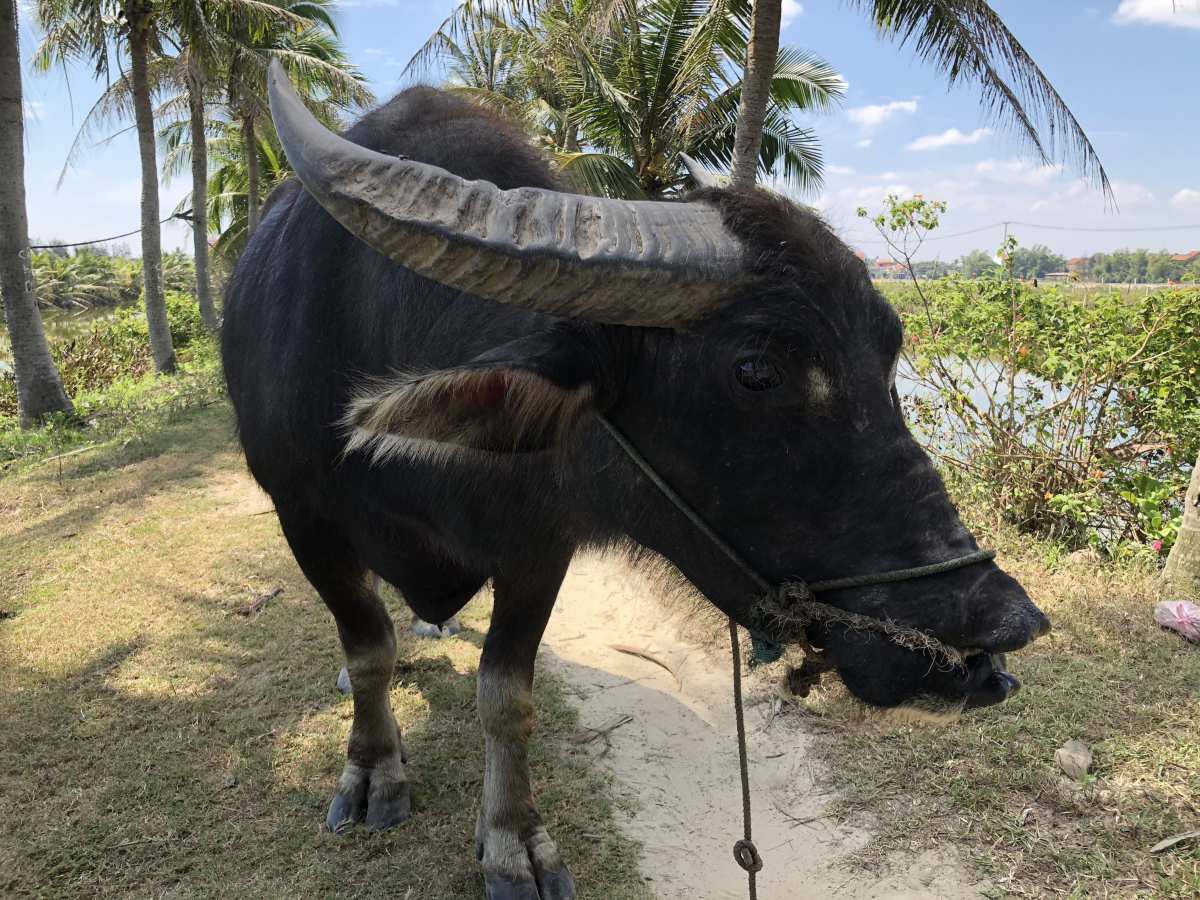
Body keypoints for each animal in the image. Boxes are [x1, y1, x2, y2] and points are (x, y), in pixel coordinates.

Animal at [223, 60, 1051, 897]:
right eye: (756, 370)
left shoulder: (540, 542)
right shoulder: (306, 522)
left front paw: (514, 840)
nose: (1001, 629)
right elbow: (368, 651)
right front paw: (372, 772)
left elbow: (506, 694)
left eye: (889, 357)